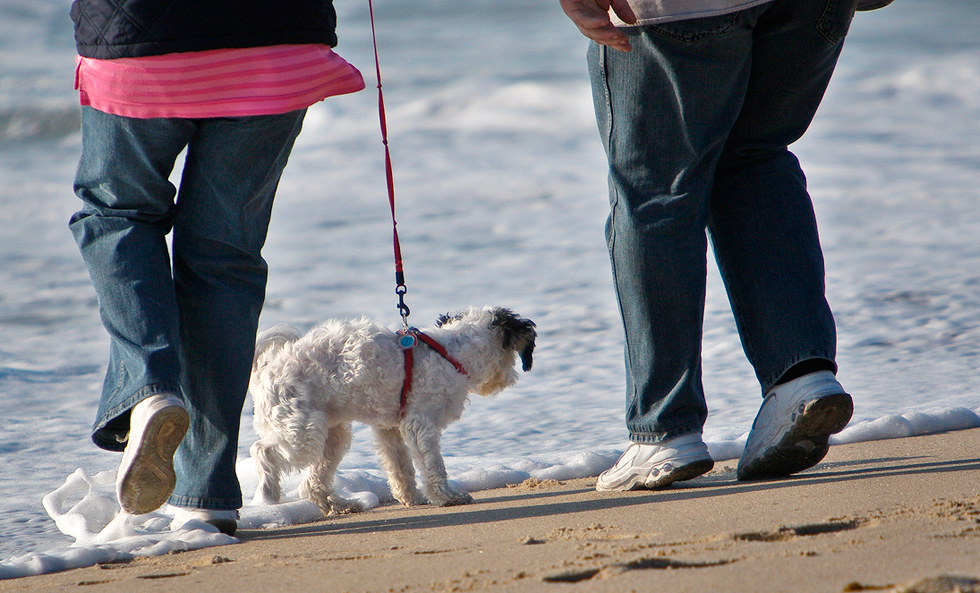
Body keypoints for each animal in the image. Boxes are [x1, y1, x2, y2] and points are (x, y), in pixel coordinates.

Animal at [249, 306, 532, 512]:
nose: (512, 378)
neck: (449, 353)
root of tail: (268, 366)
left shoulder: (389, 428)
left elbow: (400, 466)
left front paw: (411, 497)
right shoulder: (420, 424)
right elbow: (432, 465)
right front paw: (446, 496)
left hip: (331, 434)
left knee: (312, 483)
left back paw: (340, 505)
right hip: (301, 431)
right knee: (262, 450)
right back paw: (268, 494)